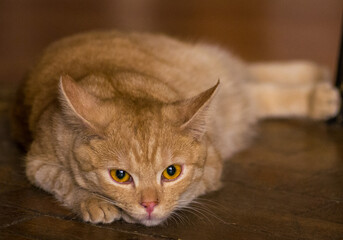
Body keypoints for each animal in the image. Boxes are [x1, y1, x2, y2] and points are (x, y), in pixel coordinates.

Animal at [11, 30, 342, 227]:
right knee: (256, 91)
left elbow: (192, 189)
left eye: (171, 172)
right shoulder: (38, 164)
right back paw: (318, 90)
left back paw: (317, 85)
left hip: (213, 69)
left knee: (250, 74)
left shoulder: (211, 169)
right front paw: (92, 200)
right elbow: (66, 182)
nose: (149, 205)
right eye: (120, 175)